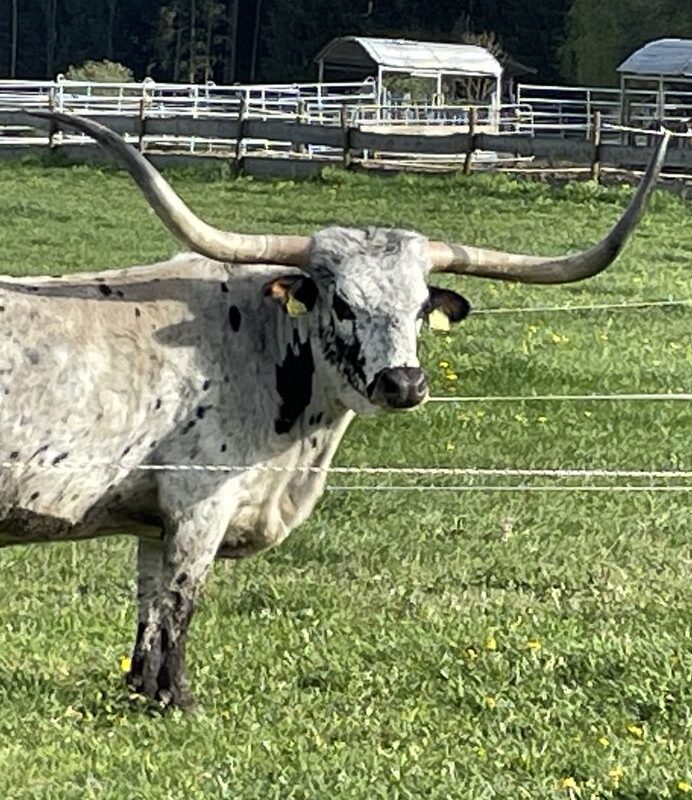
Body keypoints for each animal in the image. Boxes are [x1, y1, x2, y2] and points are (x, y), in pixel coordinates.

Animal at [0, 115, 672, 708]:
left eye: (421, 307)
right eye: (343, 303)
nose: (404, 382)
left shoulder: (151, 517)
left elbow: (149, 604)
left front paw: (140, 689)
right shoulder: (198, 503)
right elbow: (180, 601)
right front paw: (176, 699)